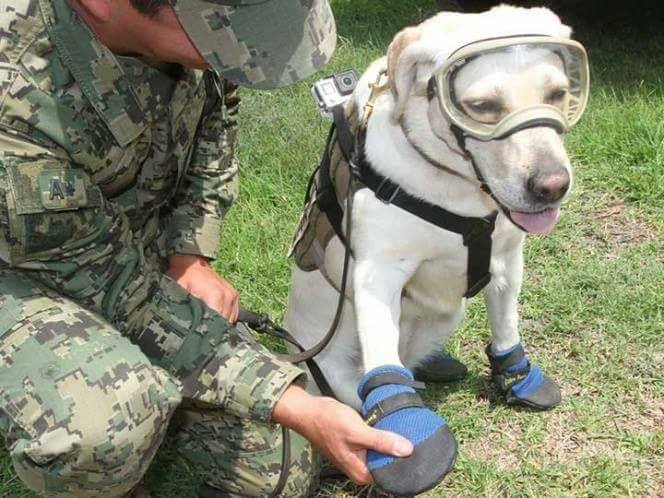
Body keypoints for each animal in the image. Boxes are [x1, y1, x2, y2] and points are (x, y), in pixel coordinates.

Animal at [286, 7, 588, 490]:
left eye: (558, 94)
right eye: (483, 107)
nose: (552, 187)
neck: (460, 189)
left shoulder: (508, 259)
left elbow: (506, 324)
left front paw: (517, 375)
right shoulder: (377, 273)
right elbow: (382, 359)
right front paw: (407, 431)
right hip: (334, 369)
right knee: (360, 386)